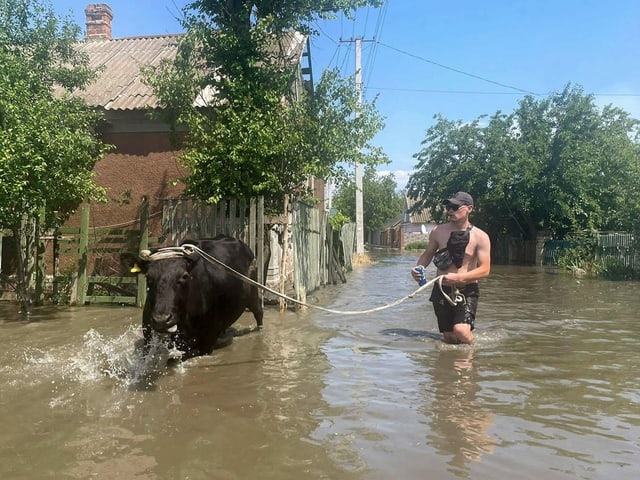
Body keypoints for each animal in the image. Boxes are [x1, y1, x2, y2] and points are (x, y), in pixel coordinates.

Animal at [127, 236, 262, 360]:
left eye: (184, 276)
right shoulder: (148, 339)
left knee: (258, 313)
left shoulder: (206, 343)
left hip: (253, 293)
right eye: (148, 277)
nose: (162, 320)